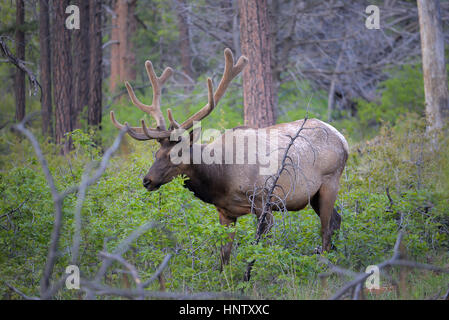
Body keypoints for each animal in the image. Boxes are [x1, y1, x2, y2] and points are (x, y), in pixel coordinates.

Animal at [110, 48, 348, 268]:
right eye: (156, 153)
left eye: (176, 154)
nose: (147, 180)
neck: (221, 178)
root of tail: (342, 138)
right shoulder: (225, 212)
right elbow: (224, 256)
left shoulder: (264, 202)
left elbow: (261, 249)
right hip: (313, 195)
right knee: (337, 220)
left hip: (330, 182)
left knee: (326, 229)